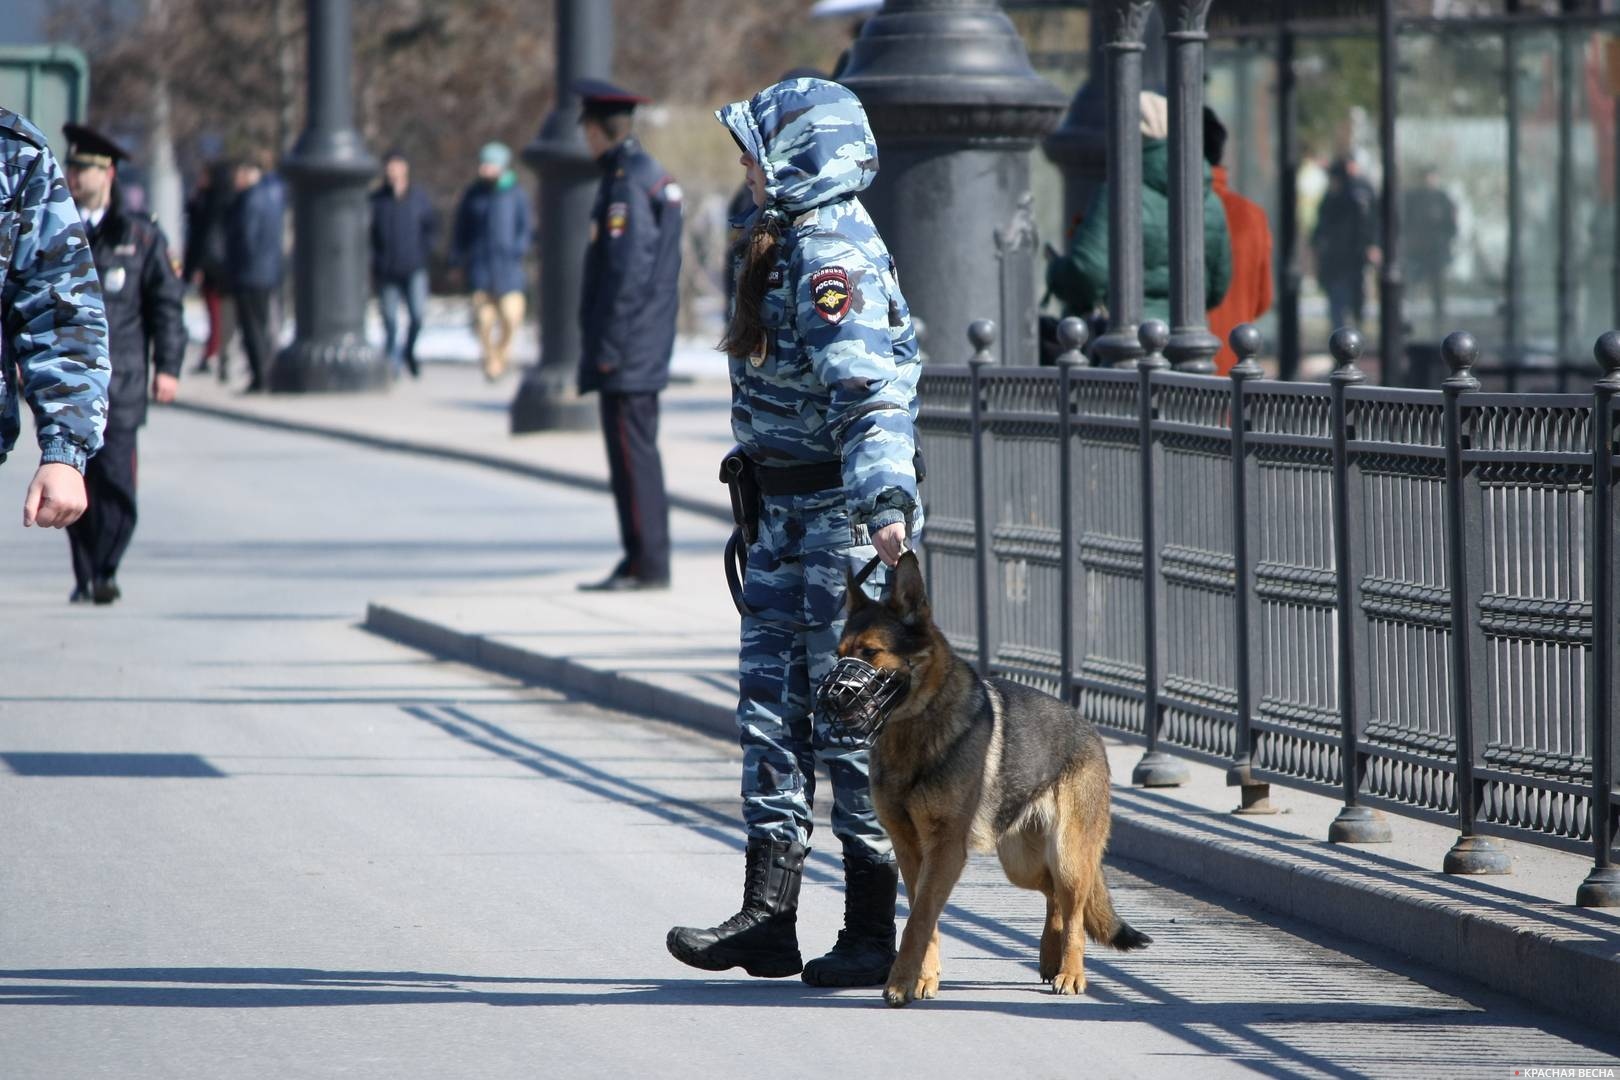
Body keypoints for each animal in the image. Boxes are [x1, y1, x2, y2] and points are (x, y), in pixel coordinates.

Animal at [842, 553, 1146, 1010]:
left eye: (871, 652)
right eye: (838, 653)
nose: (836, 696)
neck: (912, 730)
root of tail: (1087, 727)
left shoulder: (945, 850)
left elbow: (919, 919)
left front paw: (900, 983)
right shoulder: (911, 849)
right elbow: (922, 915)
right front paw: (923, 978)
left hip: (1067, 855)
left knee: (1074, 911)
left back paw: (1071, 972)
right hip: (1021, 863)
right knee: (1053, 895)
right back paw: (1050, 956)